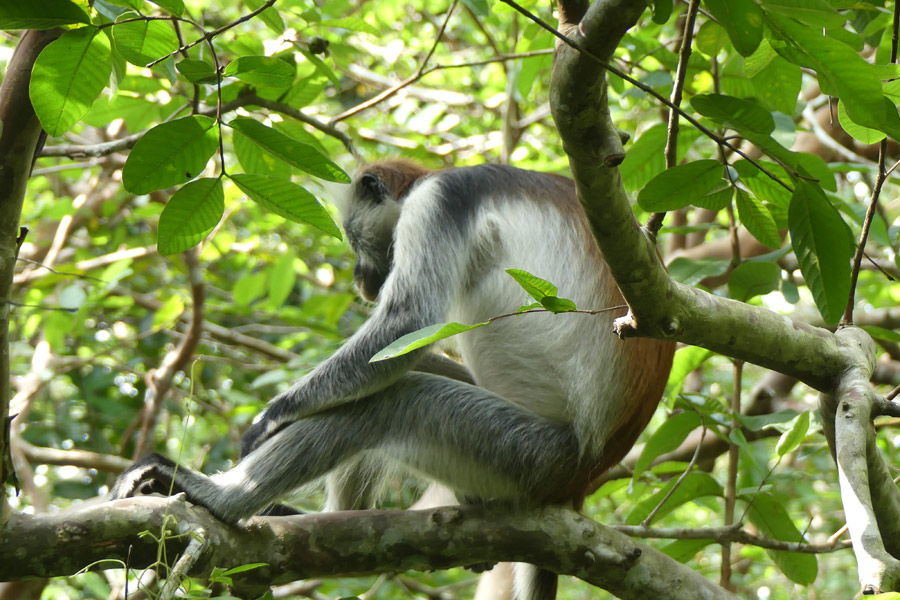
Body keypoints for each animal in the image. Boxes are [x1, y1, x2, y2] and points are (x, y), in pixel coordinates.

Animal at [110, 162, 676, 600]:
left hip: (527, 456)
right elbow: (408, 345)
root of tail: (584, 473)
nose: (360, 280)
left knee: (396, 401)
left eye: (354, 240)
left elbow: (407, 322)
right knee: (406, 376)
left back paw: (221, 499)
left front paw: (271, 419)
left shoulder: (437, 204)